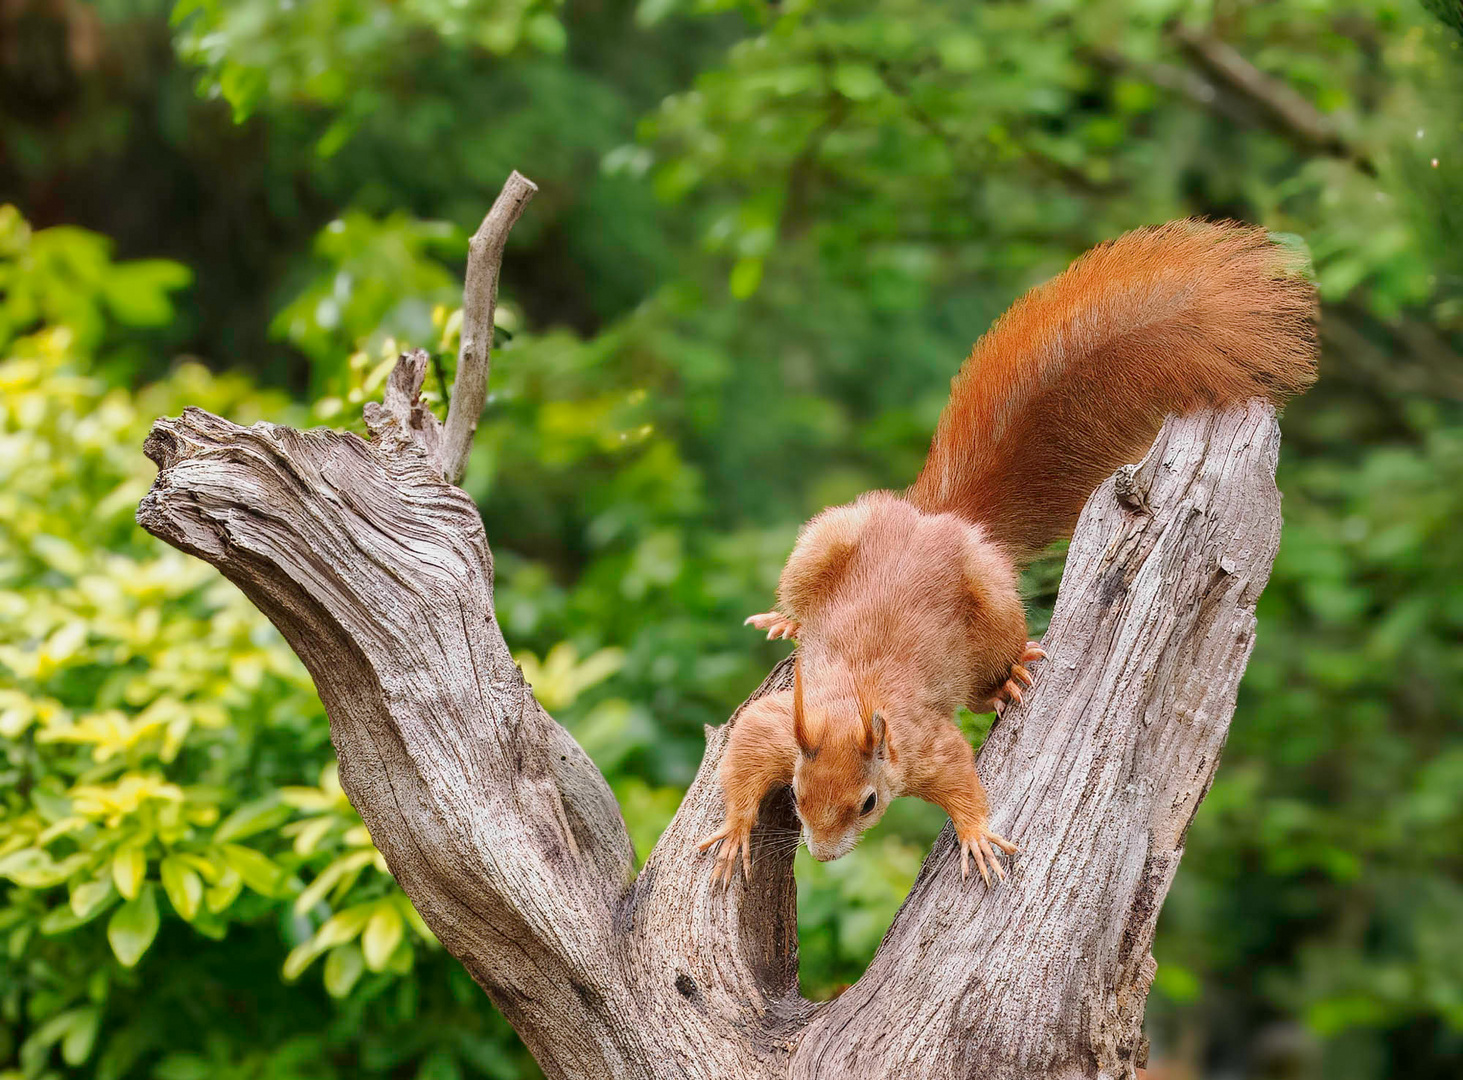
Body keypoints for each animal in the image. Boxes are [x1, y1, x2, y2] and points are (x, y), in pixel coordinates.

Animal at [693, 219, 1316, 883]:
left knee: (996, 656)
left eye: (868, 803)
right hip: (826, 539)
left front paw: (976, 835)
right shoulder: (783, 724)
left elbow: (960, 780)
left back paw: (1009, 678)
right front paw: (734, 829)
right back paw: (785, 618)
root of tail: (941, 522)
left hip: (992, 602)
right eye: (797, 794)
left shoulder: (927, 743)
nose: (825, 855)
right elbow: (745, 748)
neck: (852, 705)